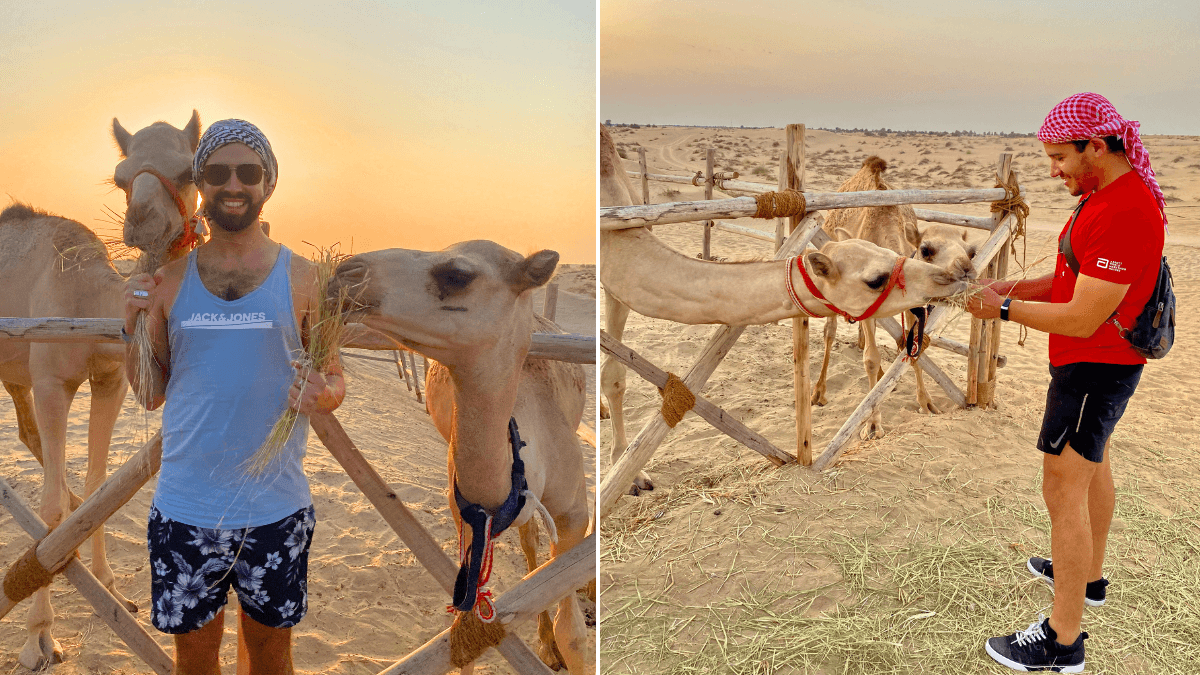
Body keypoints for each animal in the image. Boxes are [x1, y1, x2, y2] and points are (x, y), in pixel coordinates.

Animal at [0, 111, 200, 669]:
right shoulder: (52, 382)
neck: (88, 298)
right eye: (120, 176)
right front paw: (38, 637)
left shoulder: (109, 379)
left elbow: (95, 486)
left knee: (27, 435)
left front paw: (108, 584)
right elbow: (49, 507)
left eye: (189, 170)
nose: (143, 220)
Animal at [330, 241, 592, 674]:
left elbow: (572, 633)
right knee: (529, 541)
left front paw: (562, 643)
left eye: (457, 274)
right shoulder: (467, 515)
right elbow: (468, 637)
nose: (343, 272)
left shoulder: (574, 513)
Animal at [812, 155, 978, 440]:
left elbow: (913, 349)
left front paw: (927, 403)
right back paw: (819, 392)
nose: (964, 271)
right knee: (830, 331)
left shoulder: (912, 304)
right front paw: (872, 424)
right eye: (926, 250)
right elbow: (870, 358)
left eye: (972, 252)